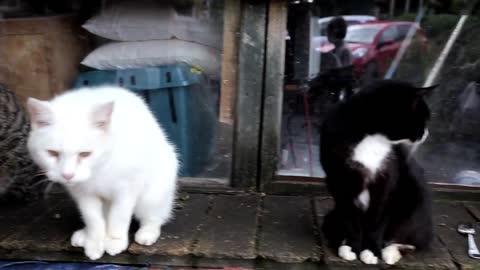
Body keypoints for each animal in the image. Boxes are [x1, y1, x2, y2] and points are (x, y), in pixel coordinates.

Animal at [25, 86, 178, 260]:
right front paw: (95, 242)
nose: (67, 175)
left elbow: (119, 217)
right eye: (52, 153)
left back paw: (147, 232)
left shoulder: (127, 190)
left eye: (85, 154)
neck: (99, 169)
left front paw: (114, 241)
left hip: (153, 195)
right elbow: (93, 218)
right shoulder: (84, 194)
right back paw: (84, 235)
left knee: (154, 215)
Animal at [320, 79, 436, 264]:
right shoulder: (338, 179)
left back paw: (390, 251)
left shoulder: (388, 179)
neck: (372, 137)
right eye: (422, 118)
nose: (426, 133)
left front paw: (372, 251)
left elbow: (378, 219)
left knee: (414, 239)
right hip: (332, 215)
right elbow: (350, 218)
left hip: (414, 201)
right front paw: (352, 247)